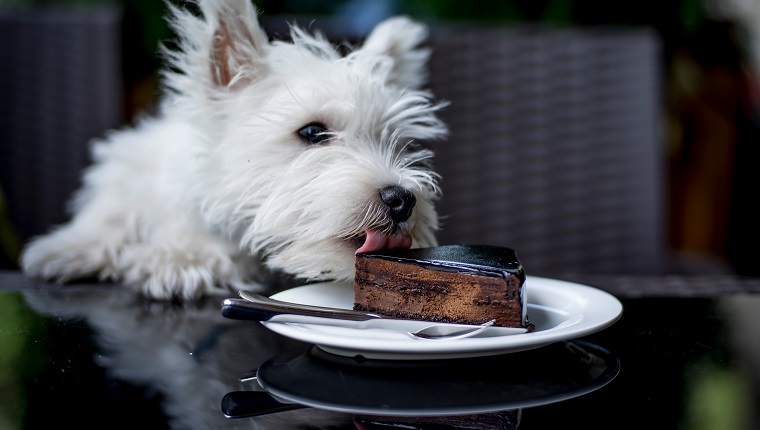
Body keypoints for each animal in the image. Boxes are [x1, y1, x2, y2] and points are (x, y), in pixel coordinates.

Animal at [20, 0, 446, 300]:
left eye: (395, 140)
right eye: (312, 131)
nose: (402, 198)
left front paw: (180, 258)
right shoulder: (133, 164)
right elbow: (112, 211)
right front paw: (68, 248)